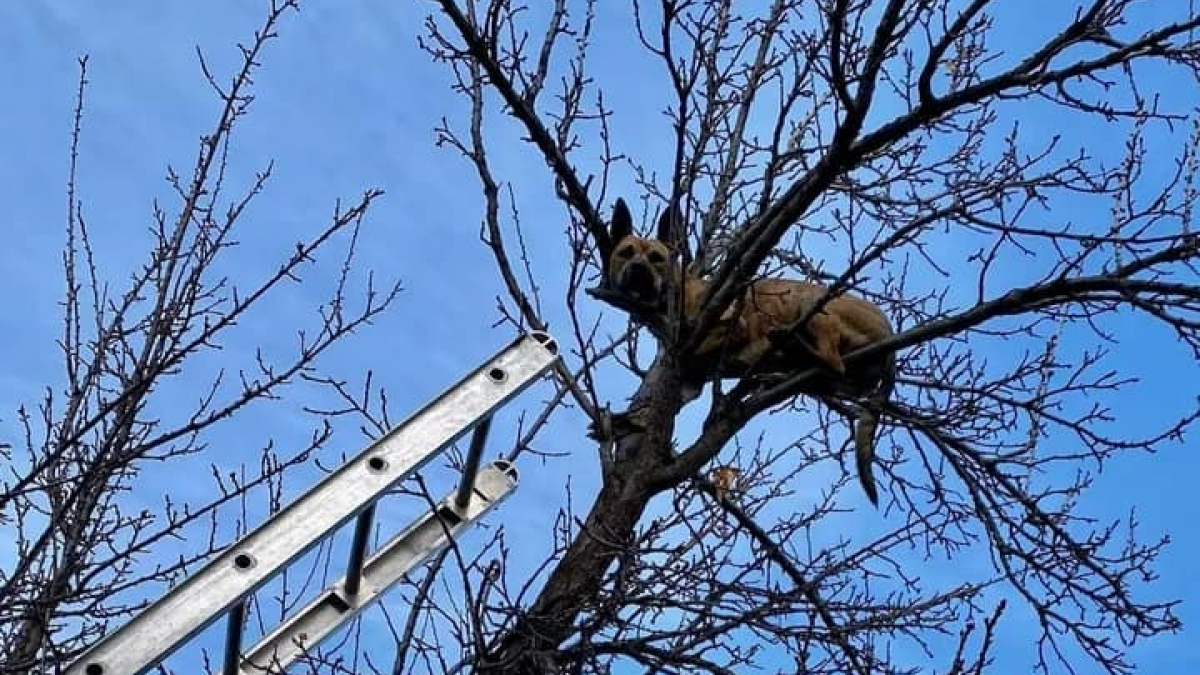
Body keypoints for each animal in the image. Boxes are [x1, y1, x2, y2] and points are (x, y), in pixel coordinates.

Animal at [604, 199, 897, 504]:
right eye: (625, 253)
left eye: (657, 258)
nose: (638, 269)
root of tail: (888, 330)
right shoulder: (689, 383)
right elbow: (646, 410)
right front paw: (622, 422)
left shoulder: (732, 328)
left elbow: (693, 346)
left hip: (809, 301)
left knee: (832, 359)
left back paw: (786, 346)